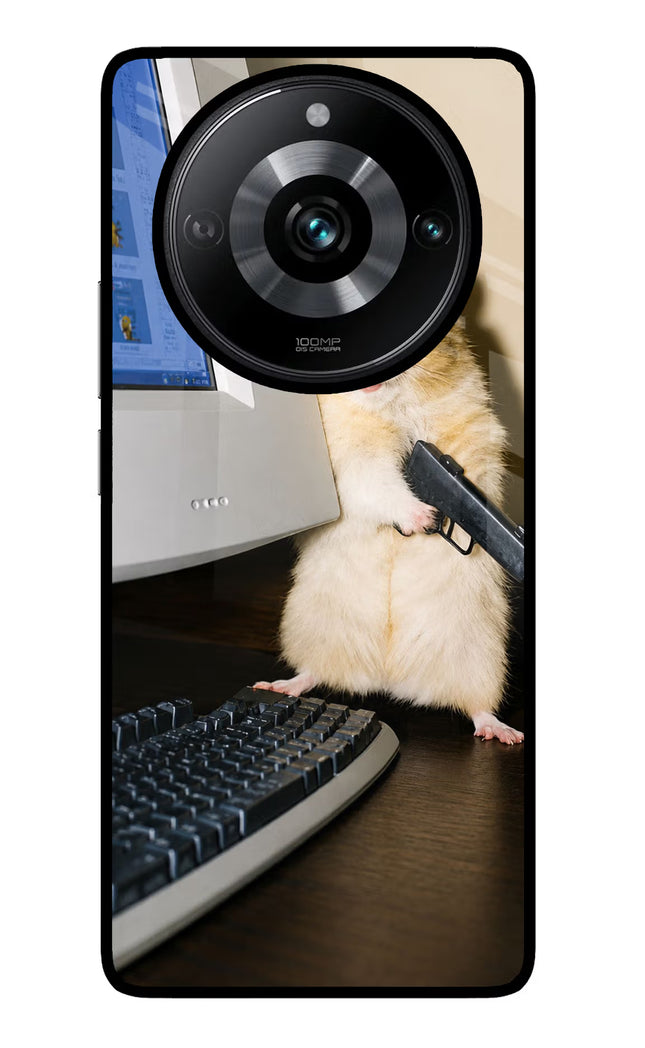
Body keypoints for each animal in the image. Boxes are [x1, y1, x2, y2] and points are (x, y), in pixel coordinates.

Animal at [256, 321, 524, 744]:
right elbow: (379, 483)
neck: (391, 405)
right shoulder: (350, 458)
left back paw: (504, 733)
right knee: (314, 672)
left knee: (477, 705)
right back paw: (276, 686)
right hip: (312, 627)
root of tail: (388, 679)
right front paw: (424, 518)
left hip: (480, 656)